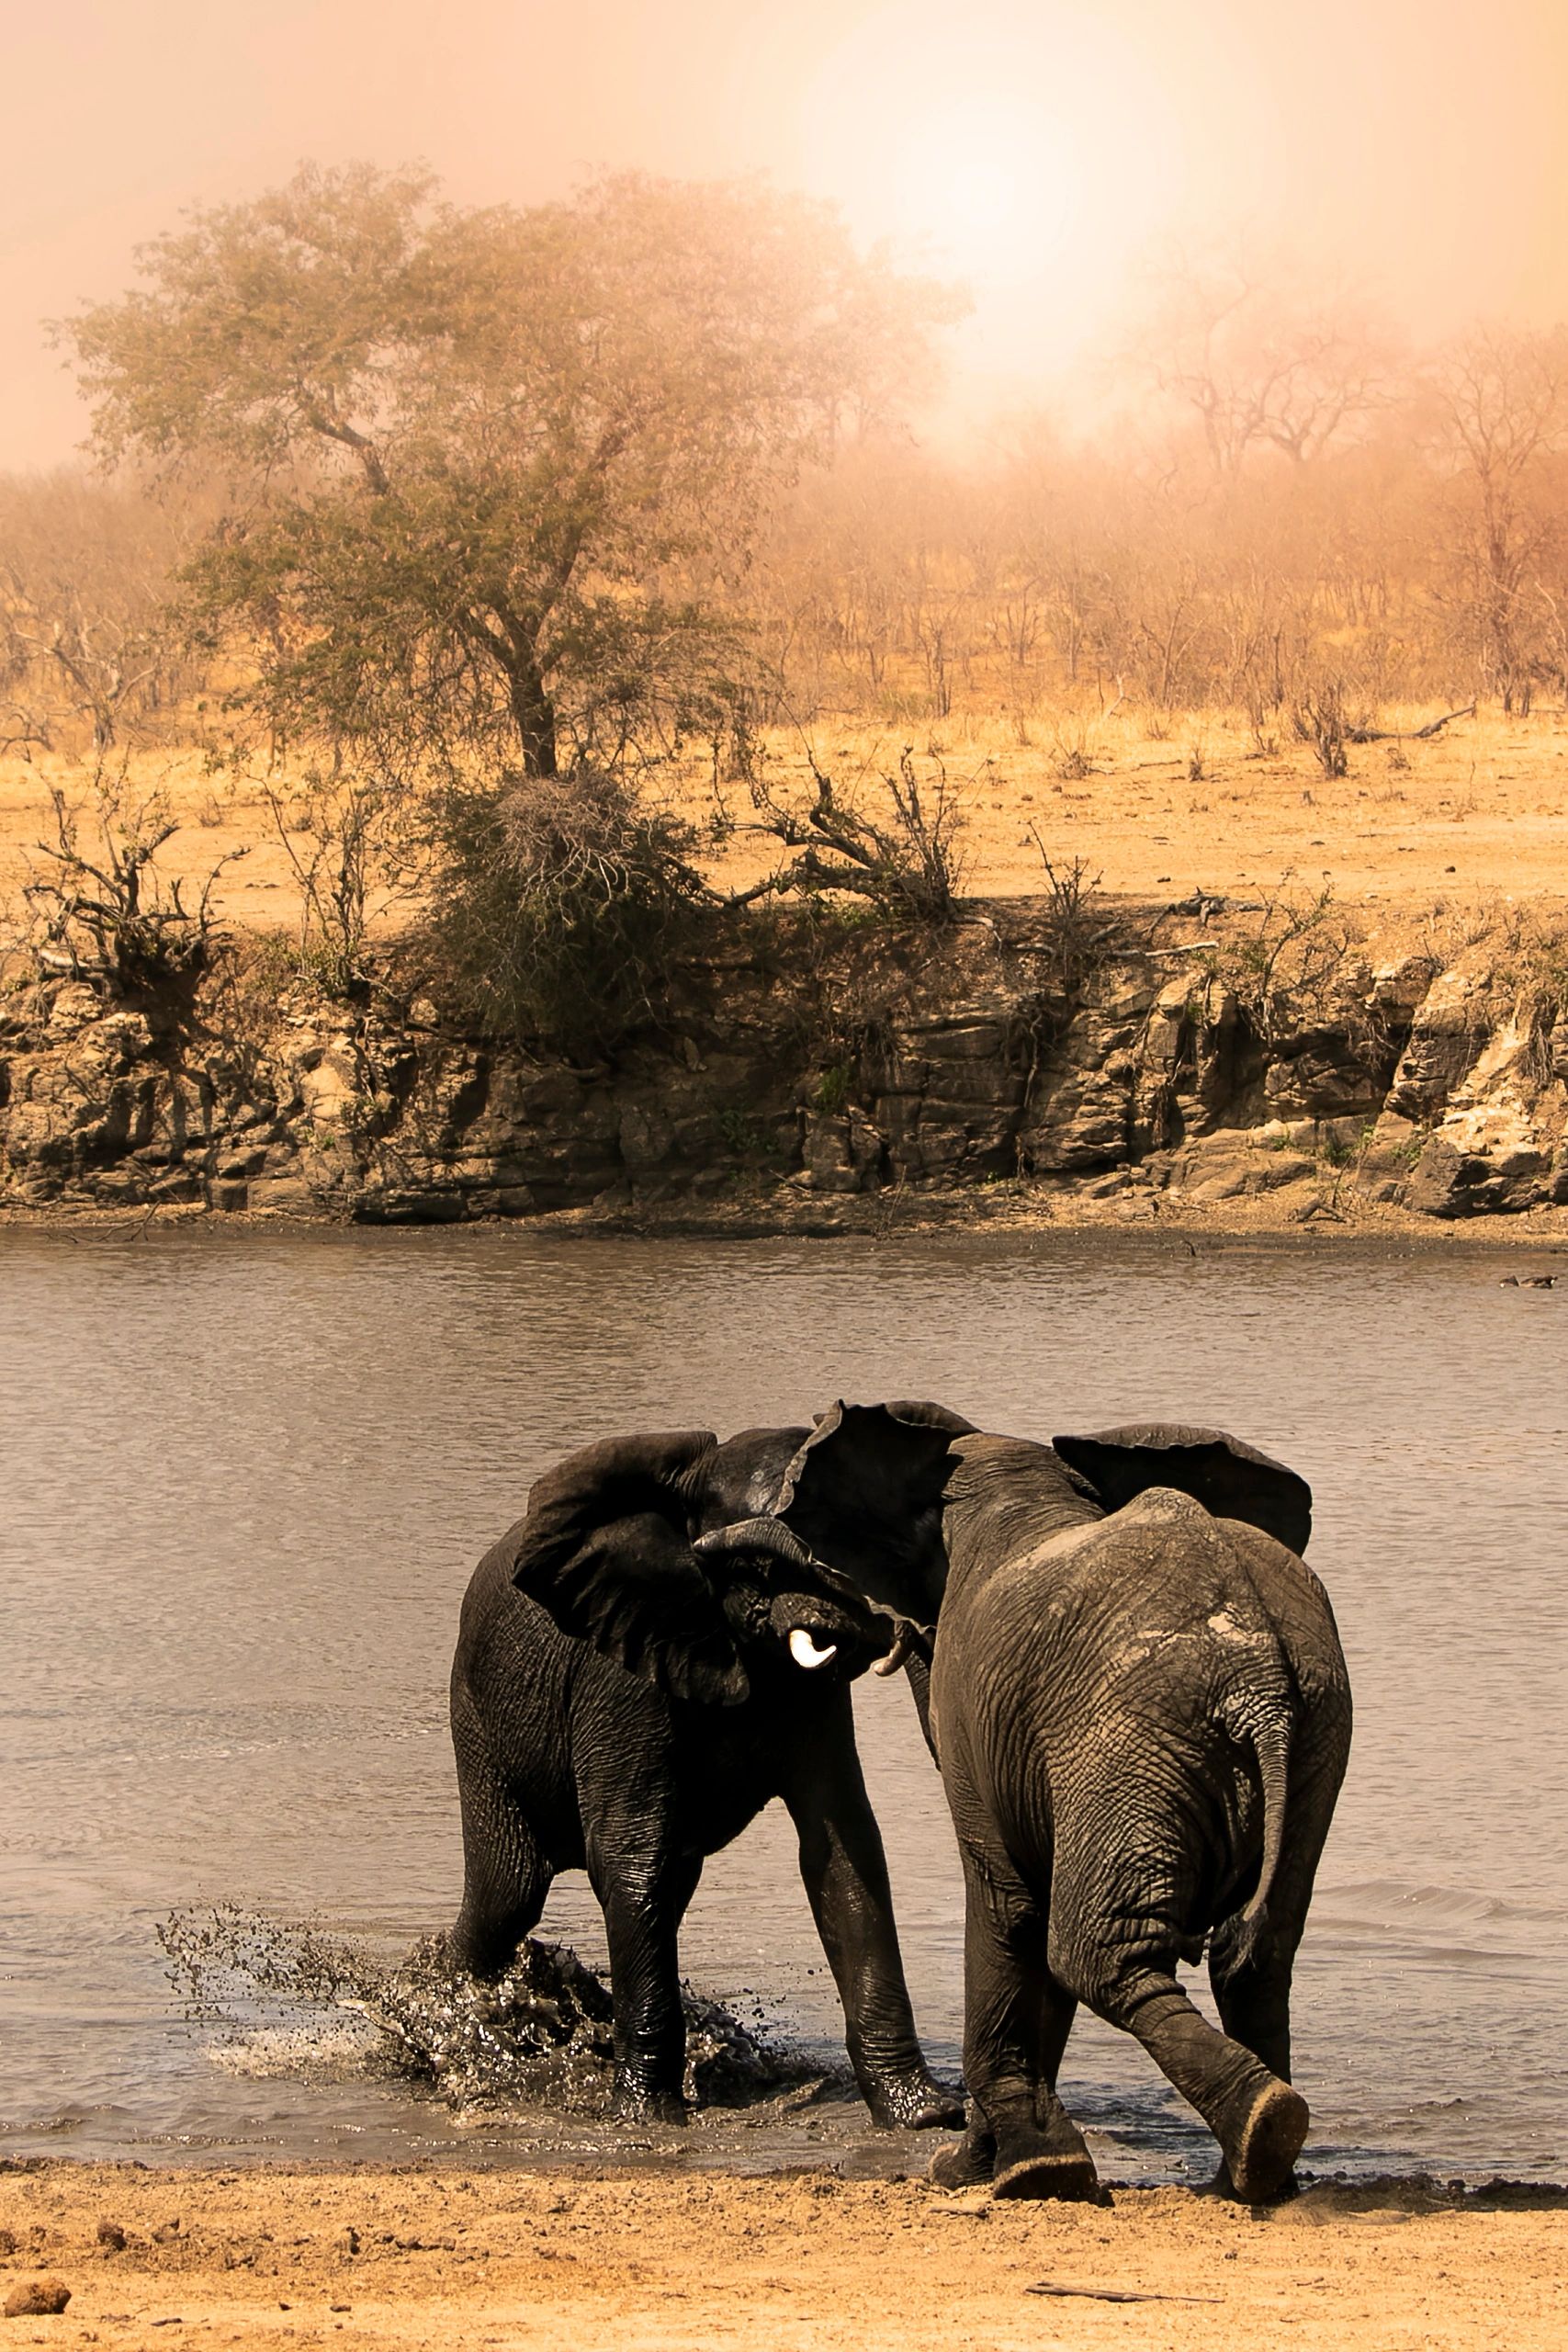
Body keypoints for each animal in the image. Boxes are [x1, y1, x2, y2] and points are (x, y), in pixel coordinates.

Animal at [447, 1420, 963, 2130]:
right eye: (760, 1567)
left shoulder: (813, 1699)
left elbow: (842, 1854)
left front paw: (924, 2116)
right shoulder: (624, 1673)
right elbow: (631, 1861)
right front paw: (647, 2118)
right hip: (476, 1719)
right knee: (510, 1891)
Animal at [770, 1402, 1352, 2204]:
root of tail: (1258, 1681)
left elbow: (1008, 1908)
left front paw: (1013, 2172)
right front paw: (996, 2164)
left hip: (1127, 1745)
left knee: (1094, 1953)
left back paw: (1260, 2131)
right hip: (1311, 1744)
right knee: (1254, 1961)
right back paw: (1253, 2166)